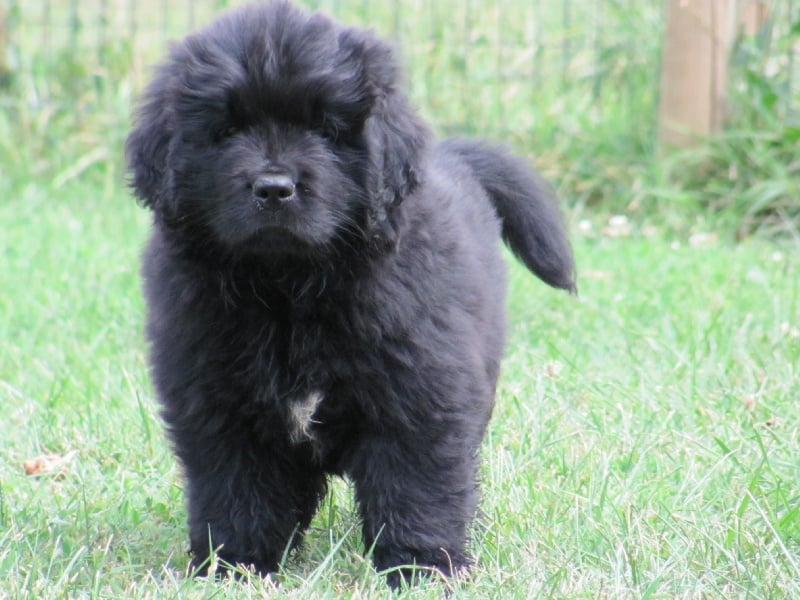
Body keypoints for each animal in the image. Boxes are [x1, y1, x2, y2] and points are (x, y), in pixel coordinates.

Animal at [125, 0, 576, 584]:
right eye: (227, 129)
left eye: (326, 129)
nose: (274, 188)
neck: (289, 289)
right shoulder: (215, 399)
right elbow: (237, 489)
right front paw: (237, 566)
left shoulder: (420, 392)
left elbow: (418, 485)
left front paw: (421, 568)